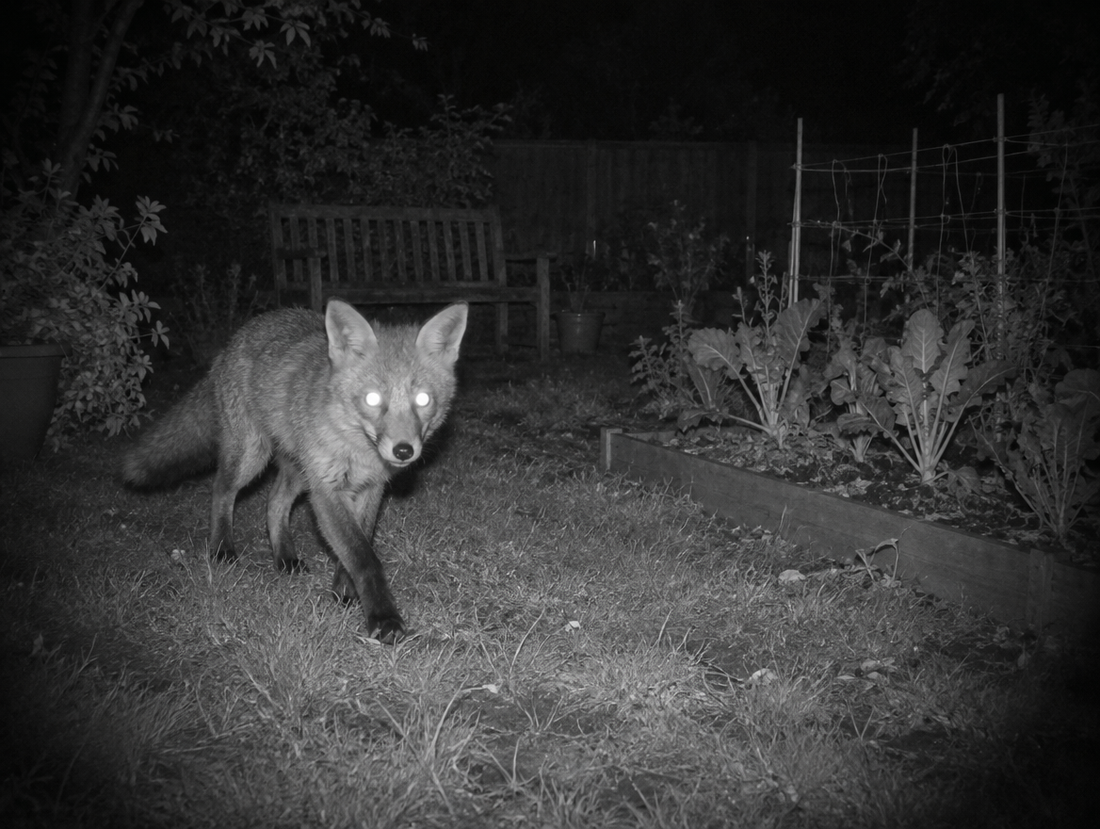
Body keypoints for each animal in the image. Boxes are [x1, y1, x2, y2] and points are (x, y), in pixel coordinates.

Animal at [121, 299, 468, 643]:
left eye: (422, 399)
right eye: (372, 398)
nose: (404, 450)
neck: (356, 449)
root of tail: (235, 340)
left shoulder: (370, 488)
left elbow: (360, 541)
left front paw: (344, 590)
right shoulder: (326, 490)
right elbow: (363, 556)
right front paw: (383, 618)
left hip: (299, 470)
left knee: (274, 501)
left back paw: (284, 557)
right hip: (253, 457)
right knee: (221, 490)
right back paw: (221, 549)